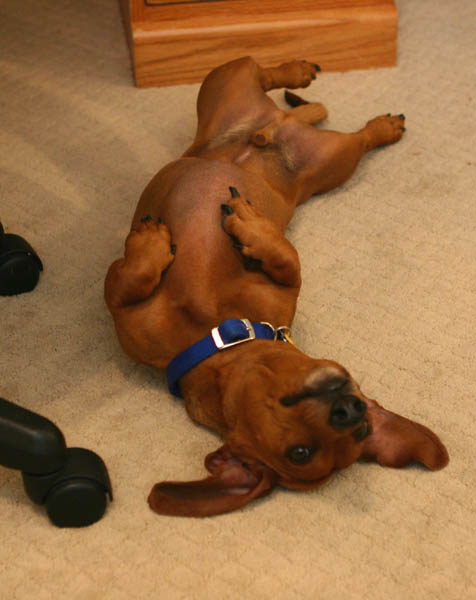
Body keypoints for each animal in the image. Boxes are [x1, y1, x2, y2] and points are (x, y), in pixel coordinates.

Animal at [105, 57, 449, 517]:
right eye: (299, 453)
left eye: (362, 431)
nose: (350, 408)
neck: (214, 331)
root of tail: (274, 126)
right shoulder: (124, 312)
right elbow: (136, 276)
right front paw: (156, 242)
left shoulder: (284, 291)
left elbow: (288, 260)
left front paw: (246, 225)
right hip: (223, 86)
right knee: (256, 68)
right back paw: (299, 71)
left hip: (334, 162)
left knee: (359, 137)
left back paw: (380, 126)